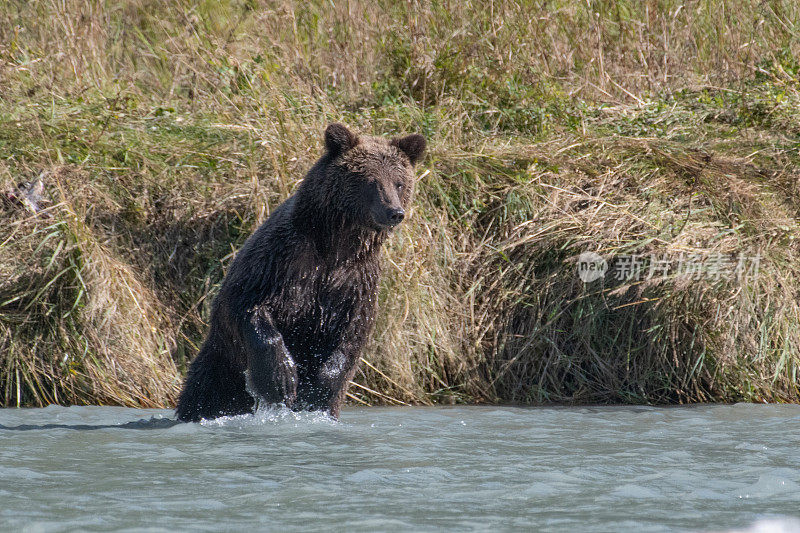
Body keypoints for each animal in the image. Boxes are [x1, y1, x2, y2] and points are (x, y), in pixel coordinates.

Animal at [175, 122, 424, 422]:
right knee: (205, 393)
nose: (394, 212)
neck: (336, 246)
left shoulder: (355, 281)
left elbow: (353, 333)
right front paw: (282, 378)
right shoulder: (280, 262)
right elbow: (246, 306)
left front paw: (320, 385)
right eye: (371, 180)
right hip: (221, 368)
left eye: (399, 182)